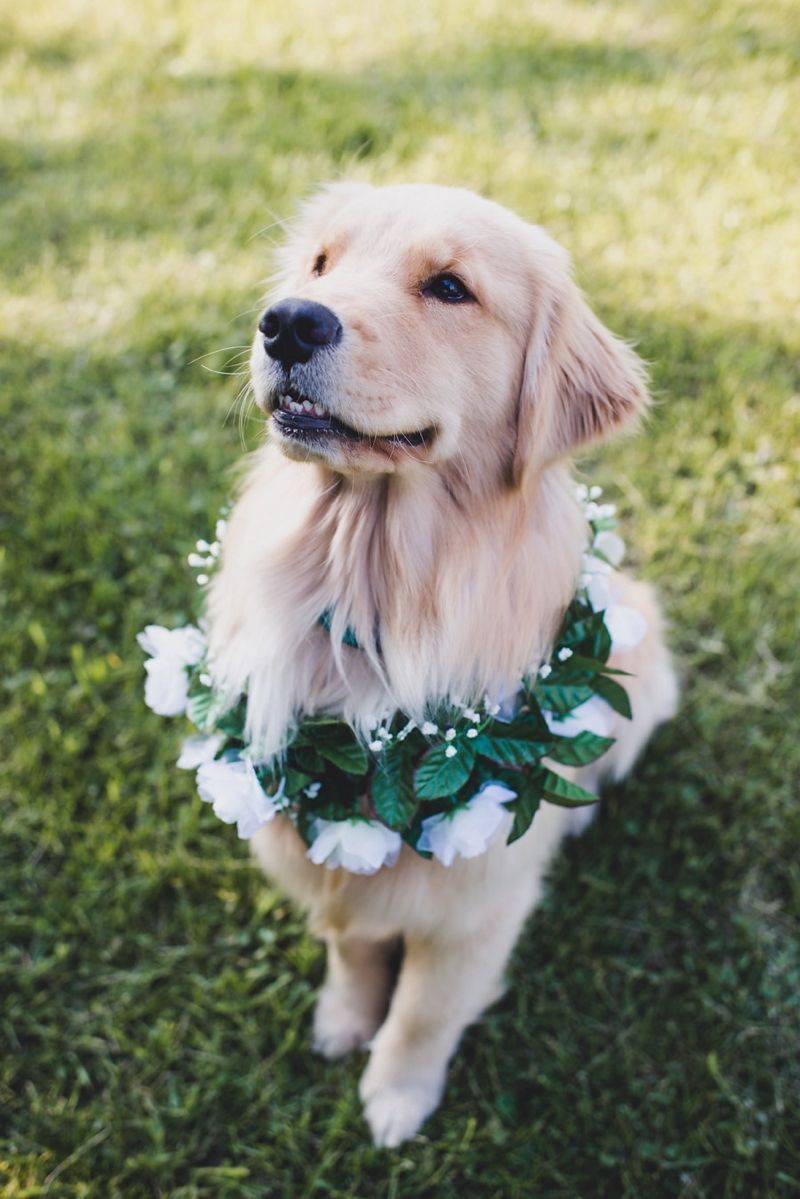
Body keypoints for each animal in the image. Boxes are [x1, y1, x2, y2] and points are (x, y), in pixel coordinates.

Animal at [206, 182, 676, 1146]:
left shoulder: (477, 905)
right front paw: (345, 1020)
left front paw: (397, 1094)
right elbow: (352, 943)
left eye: (451, 287)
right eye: (322, 264)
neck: (372, 579)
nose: (287, 323)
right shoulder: (334, 839)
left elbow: (425, 1007)